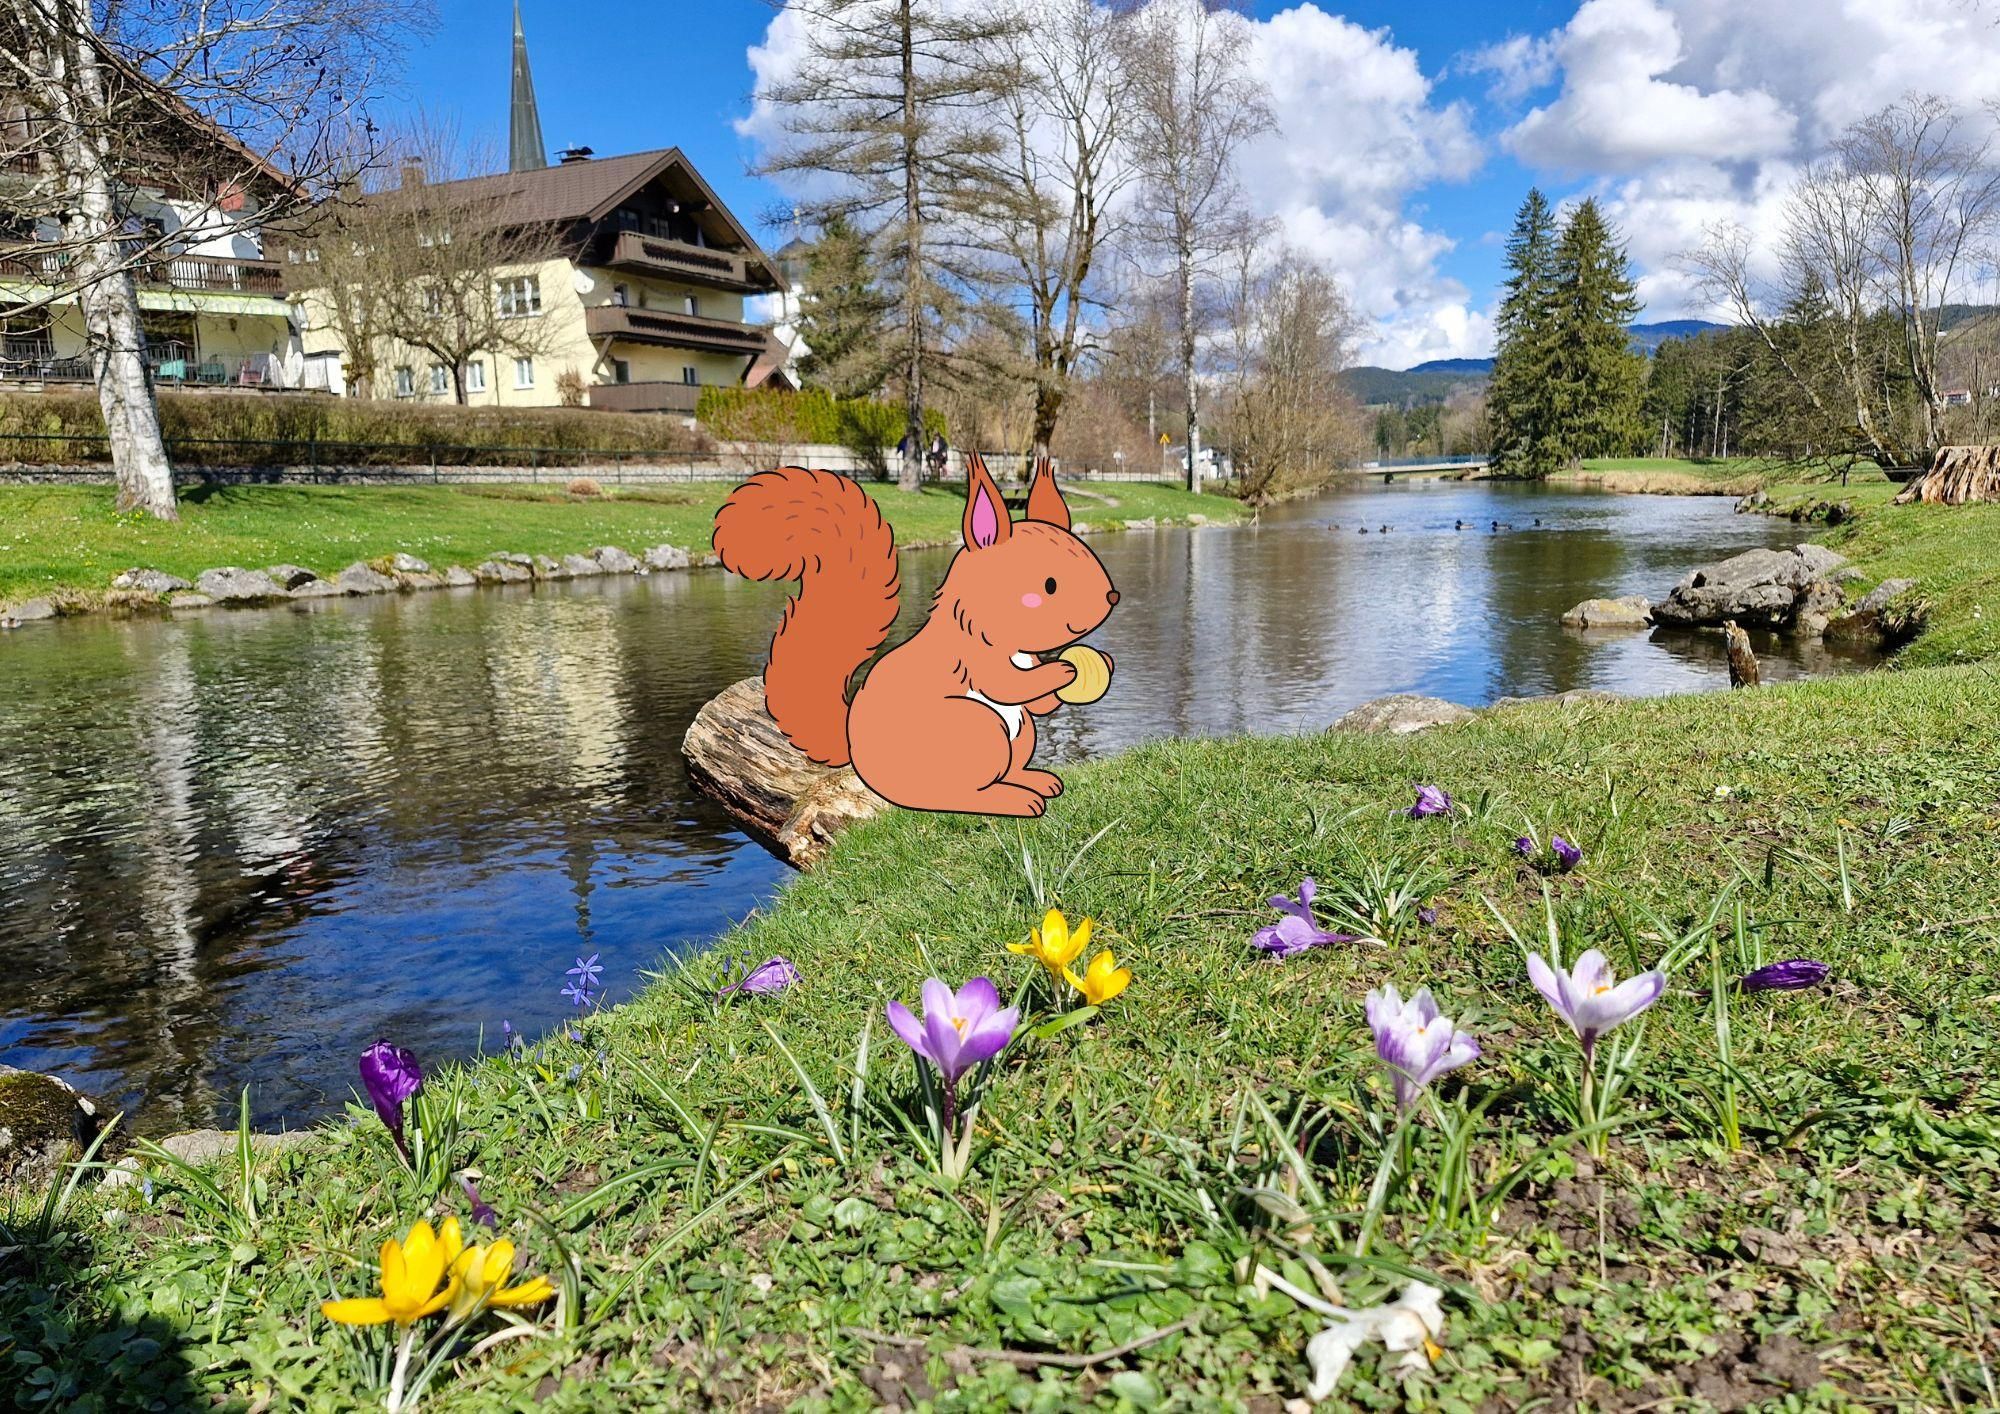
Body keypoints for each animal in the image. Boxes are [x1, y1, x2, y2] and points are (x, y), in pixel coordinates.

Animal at [712, 453, 1118, 817]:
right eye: (1049, 584)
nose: (1111, 597)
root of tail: (856, 753)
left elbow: (1038, 703)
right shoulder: (973, 657)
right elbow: (1007, 685)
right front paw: (1063, 671)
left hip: (1017, 736)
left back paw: (1033, 780)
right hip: (975, 729)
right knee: (953, 796)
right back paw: (1011, 800)